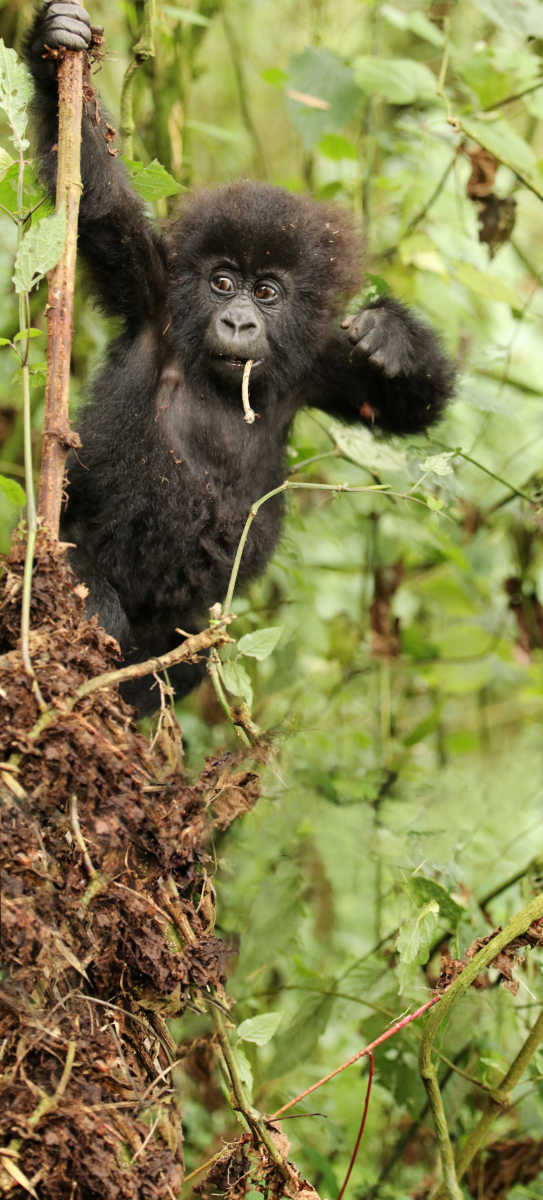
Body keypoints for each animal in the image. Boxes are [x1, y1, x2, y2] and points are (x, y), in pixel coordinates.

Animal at [24, 0, 454, 710]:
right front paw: (55, 42)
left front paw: (393, 336)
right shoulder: (156, 302)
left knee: (179, 660)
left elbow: (402, 407)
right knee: (92, 600)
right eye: (223, 282)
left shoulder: (313, 363)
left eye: (268, 292)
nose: (237, 320)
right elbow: (99, 202)